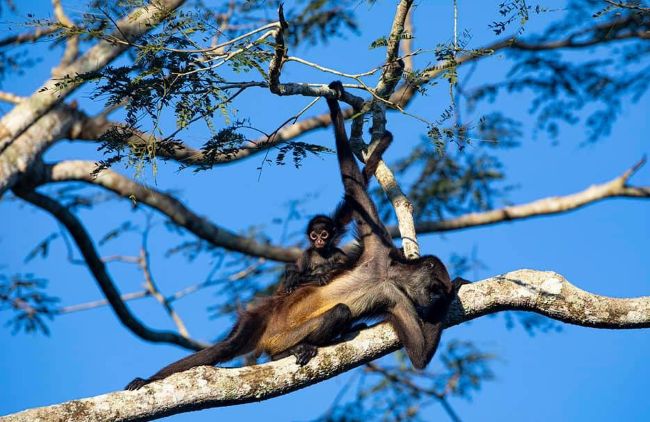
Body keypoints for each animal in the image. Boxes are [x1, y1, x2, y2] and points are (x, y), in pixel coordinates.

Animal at [280, 132, 393, 294]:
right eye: (313, 235)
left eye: (324, 234)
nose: (319, 241)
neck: (322, 253)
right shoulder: (306, 255)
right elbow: (297, 270)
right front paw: (301, 278)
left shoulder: (337, 251)